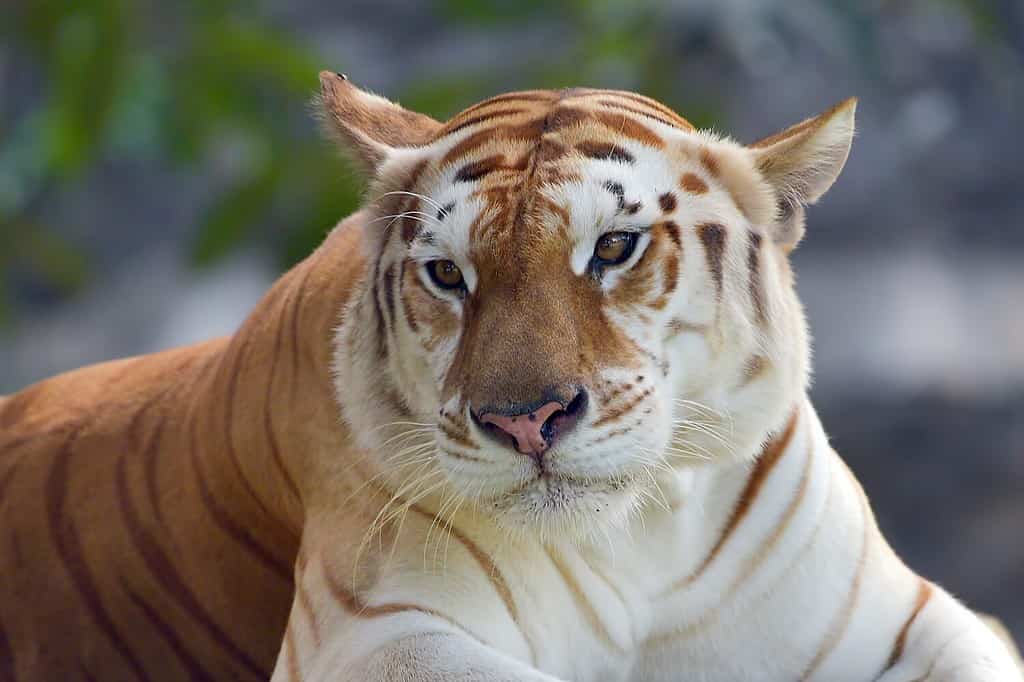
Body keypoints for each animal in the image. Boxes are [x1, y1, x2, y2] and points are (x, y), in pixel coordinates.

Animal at [0, 74, 1019, 679]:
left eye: (612, 248)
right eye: (449, 274)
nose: (527, 421)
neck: (641, 540)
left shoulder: (911, 623)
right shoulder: (383, 628)